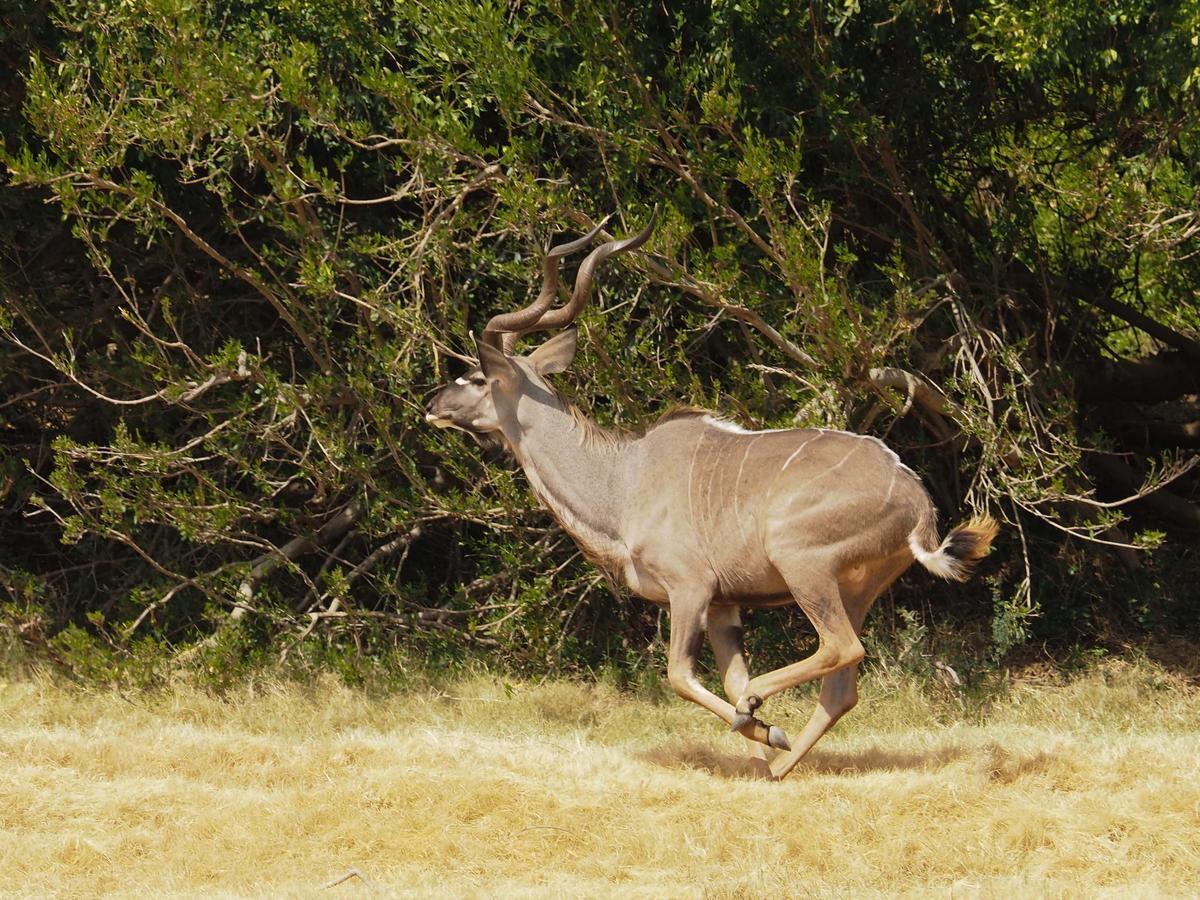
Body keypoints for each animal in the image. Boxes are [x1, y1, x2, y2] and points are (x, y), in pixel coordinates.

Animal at [427, 213, 998, 782]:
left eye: (476, 377)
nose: (432, 404)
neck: (622, 482)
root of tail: (917, 504)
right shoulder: (725, 604)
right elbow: (729, 678)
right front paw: (762, 753)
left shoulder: (692, 589)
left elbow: (680, 676)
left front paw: (763, 726)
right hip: (855, 590)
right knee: (841, 687)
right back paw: (779, 766)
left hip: (803, 565)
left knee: (839, 647)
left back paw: (763, 716)